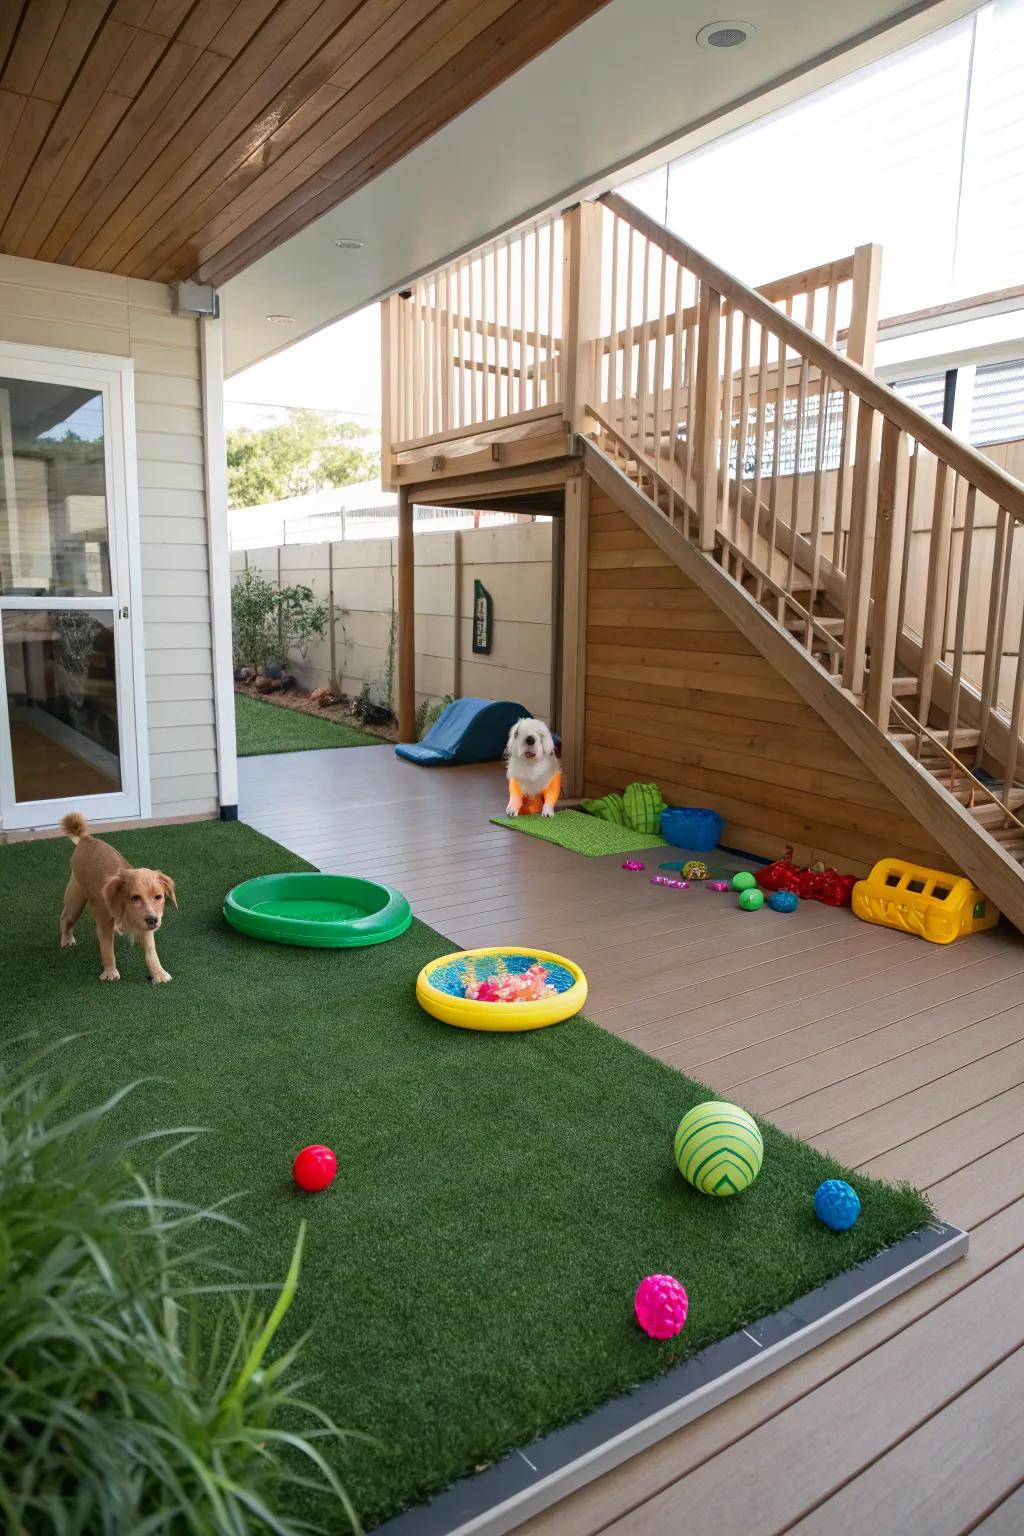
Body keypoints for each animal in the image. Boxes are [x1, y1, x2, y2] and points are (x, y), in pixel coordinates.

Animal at [60, 817, 177, 983]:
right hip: (75, 901)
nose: (153, 920)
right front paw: (110, 972)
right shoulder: (104, 924)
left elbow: (151, 952)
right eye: (135, 898)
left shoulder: (146, 925)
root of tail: (86, 839)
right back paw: (66, 940)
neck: (126, 910)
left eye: (158, 897)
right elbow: (107, 950)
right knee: (65, 918)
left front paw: (158, 973)